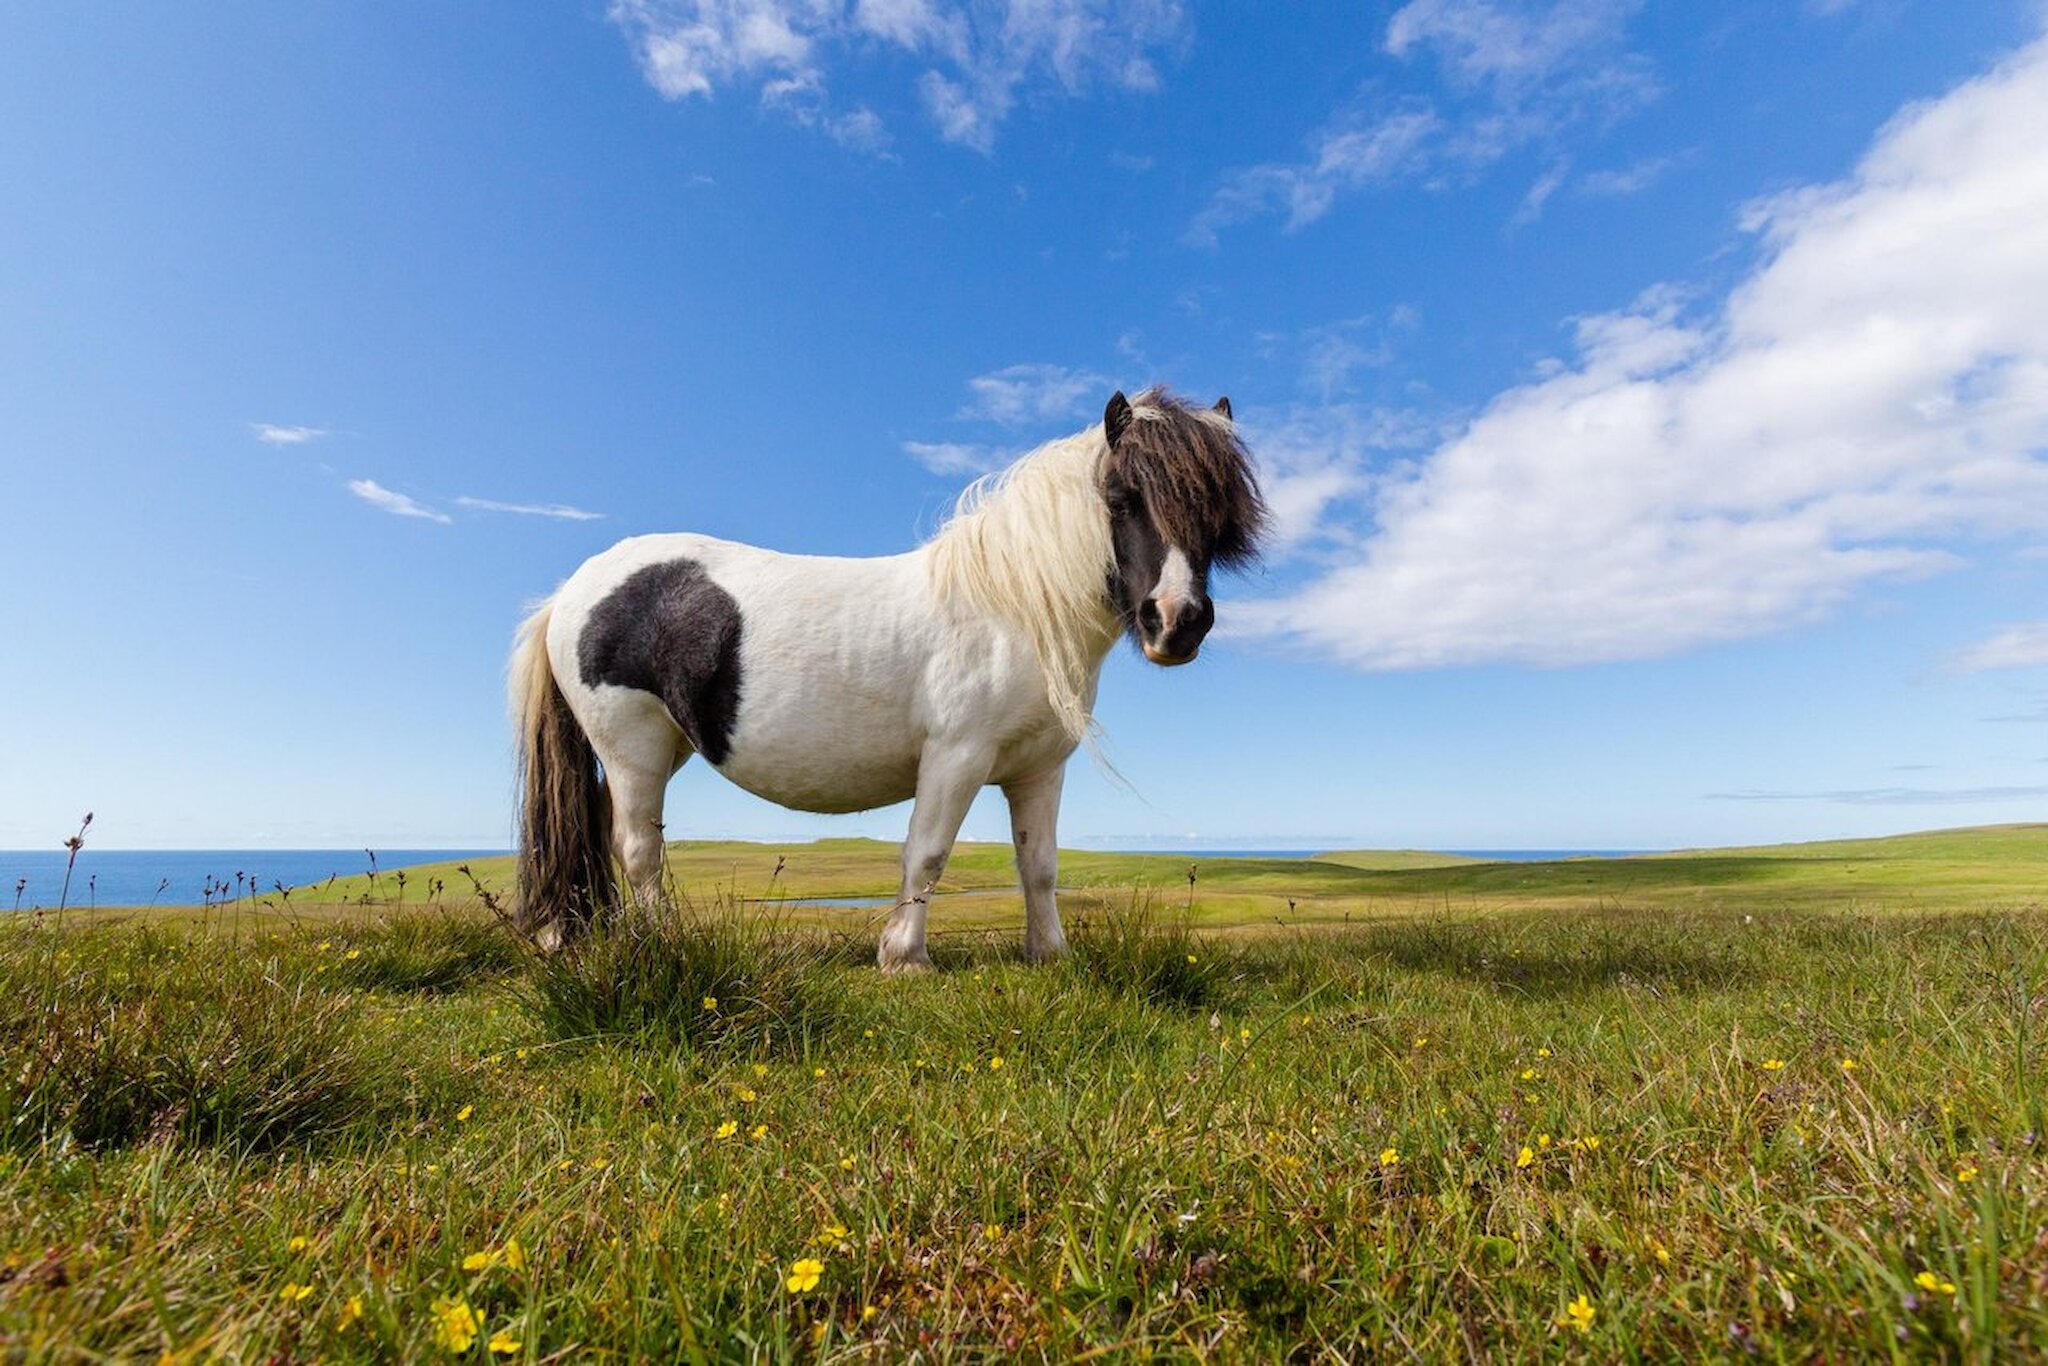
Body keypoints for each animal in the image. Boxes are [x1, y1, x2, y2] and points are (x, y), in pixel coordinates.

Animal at [509, 387, 1268, 969]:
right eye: (1122, 496)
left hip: (659, 749)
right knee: (638, 849)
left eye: (1219, 515)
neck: (1014, 609)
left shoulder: (1039, 769)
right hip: (632, 747)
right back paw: (662, 945)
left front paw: (1049, 955)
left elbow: (1040, 865)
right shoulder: (956, 757)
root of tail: (572, 592)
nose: (1177, 622)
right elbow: (926, 854)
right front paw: (905, 957)